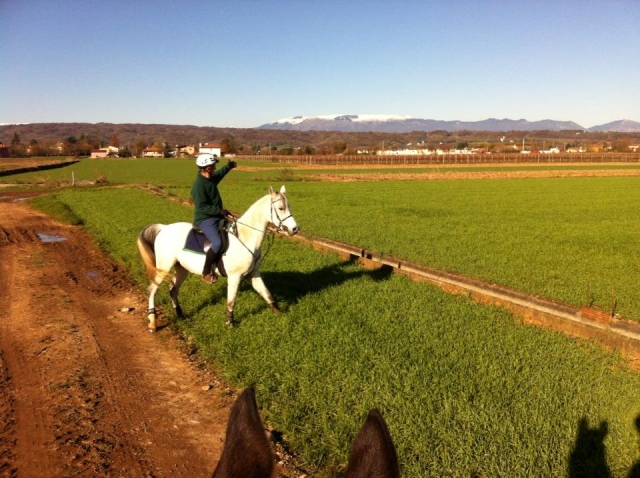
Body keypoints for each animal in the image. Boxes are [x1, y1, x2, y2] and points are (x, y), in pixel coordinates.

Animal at [137, 185, 299, 331]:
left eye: (289, 207)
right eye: (280, 208)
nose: (295, 229)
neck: (245, 238)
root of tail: (164, 228)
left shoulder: (253, 274)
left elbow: (267, 294)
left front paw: (281, 314)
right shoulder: (235, 277)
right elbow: (231, 301)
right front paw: (229, 323)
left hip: (182, 268)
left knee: (173, 289)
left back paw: (180, 314)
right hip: (163, 267)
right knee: (152, 289)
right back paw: (152, 323)